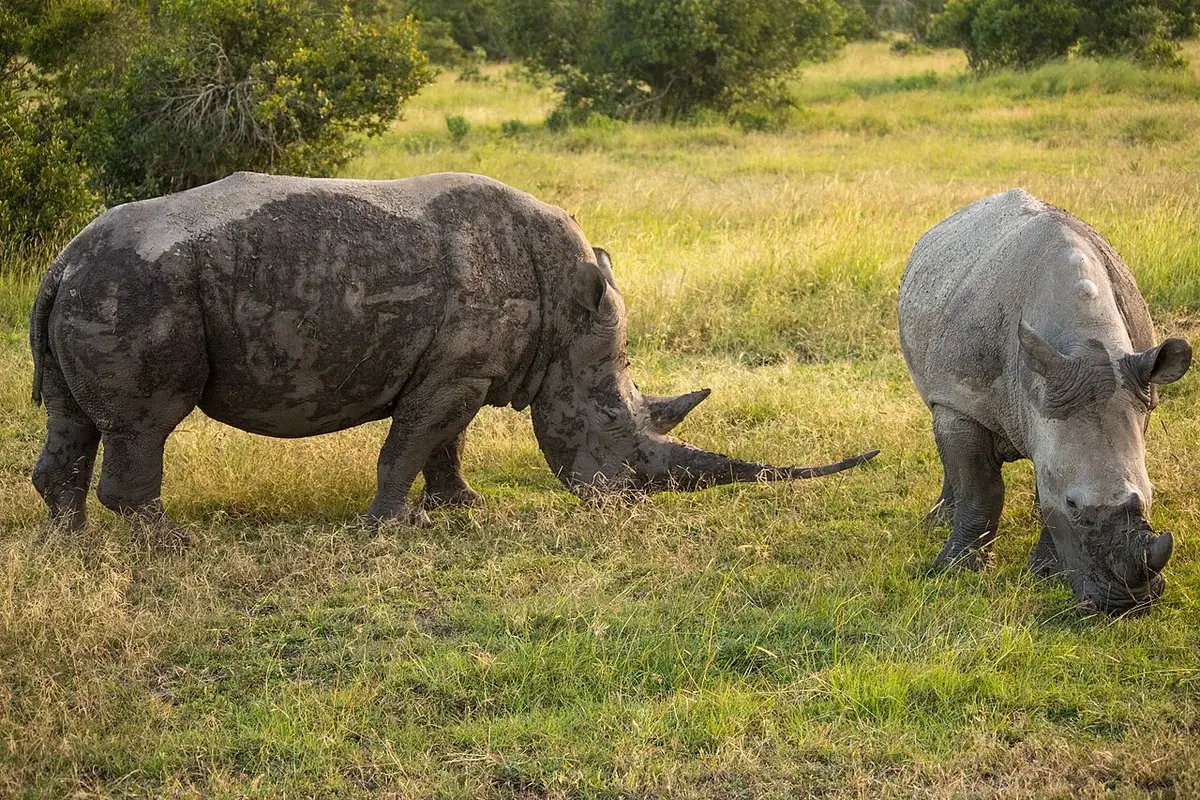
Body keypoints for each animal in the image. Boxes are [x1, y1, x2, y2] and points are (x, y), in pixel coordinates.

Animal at [30, 171, 878, 541]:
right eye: (615, 430)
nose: (627, 505)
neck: (566, 310)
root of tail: (60, 261)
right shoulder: (455, 371)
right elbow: (408, 443)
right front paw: (385, 529)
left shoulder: (467, 367)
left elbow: (446, 443)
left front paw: (461, 507)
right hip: (137, 286)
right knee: (148, 423)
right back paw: (167, 543)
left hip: (101, 284)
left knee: (75, 421)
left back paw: (70, 542)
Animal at [899, 189, 1191, 613]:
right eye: (1073, 505)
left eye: (1150, 496)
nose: (1126, 603)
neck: (1085, 346)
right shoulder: (962, 400)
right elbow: (980, 486)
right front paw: (957, 569)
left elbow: (1045, 483)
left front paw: (1047, 573)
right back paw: (937, 523)